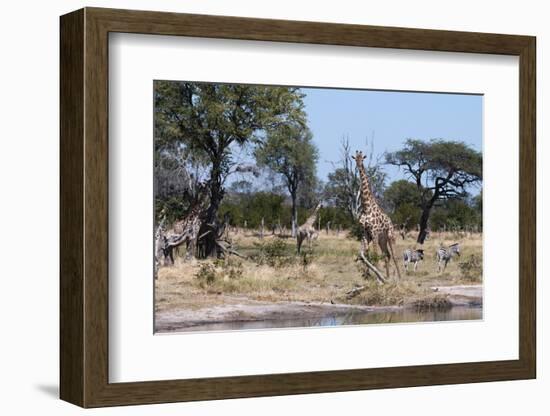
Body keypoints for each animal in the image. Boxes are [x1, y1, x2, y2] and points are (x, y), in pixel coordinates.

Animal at [354, 151, 406, 284]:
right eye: (355, 158)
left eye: (362, 159)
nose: (359, 166)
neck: (366, 207)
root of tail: (391, 222)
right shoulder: (365, 233)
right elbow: (366, 253)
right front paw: (367, 275)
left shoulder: (374, 233)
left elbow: (374, 253)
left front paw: (377, 277)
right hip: (382, 240)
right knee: (386, 254)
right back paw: (387, 276)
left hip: (390, 236)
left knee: (393, 255)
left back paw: (398, 277)